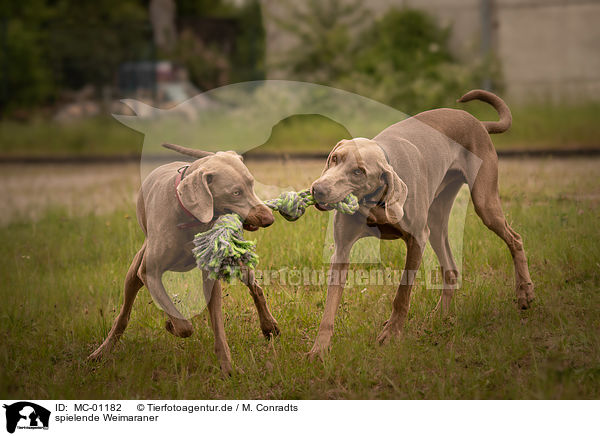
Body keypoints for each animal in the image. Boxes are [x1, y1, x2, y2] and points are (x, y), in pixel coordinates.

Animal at [88, 144, 278, 374]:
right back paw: (101, 352)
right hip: (133, 273)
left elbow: (218, 326)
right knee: (123, 314)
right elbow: (184, 325)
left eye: (251, 184)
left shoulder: (211, 277)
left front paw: (227, 368)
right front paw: (172, 324)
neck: (190, 218)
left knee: (256, 288)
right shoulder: (149, 274)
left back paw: (269, 326)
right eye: (235, 192)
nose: (269, 218)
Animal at [310, 89, 536, 358]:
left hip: (483, 202)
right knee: (451, 269)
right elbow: (330, 304)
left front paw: (391, 333)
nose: (318, 189)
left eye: (358, 172)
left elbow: (402, 293)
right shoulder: (342, 250)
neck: (377, 203)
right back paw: (439, 317)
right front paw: (320, 348)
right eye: (334, 159)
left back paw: (524, 292)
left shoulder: (417, 239)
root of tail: (479, 123)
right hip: (437, 221)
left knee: (515, 238)